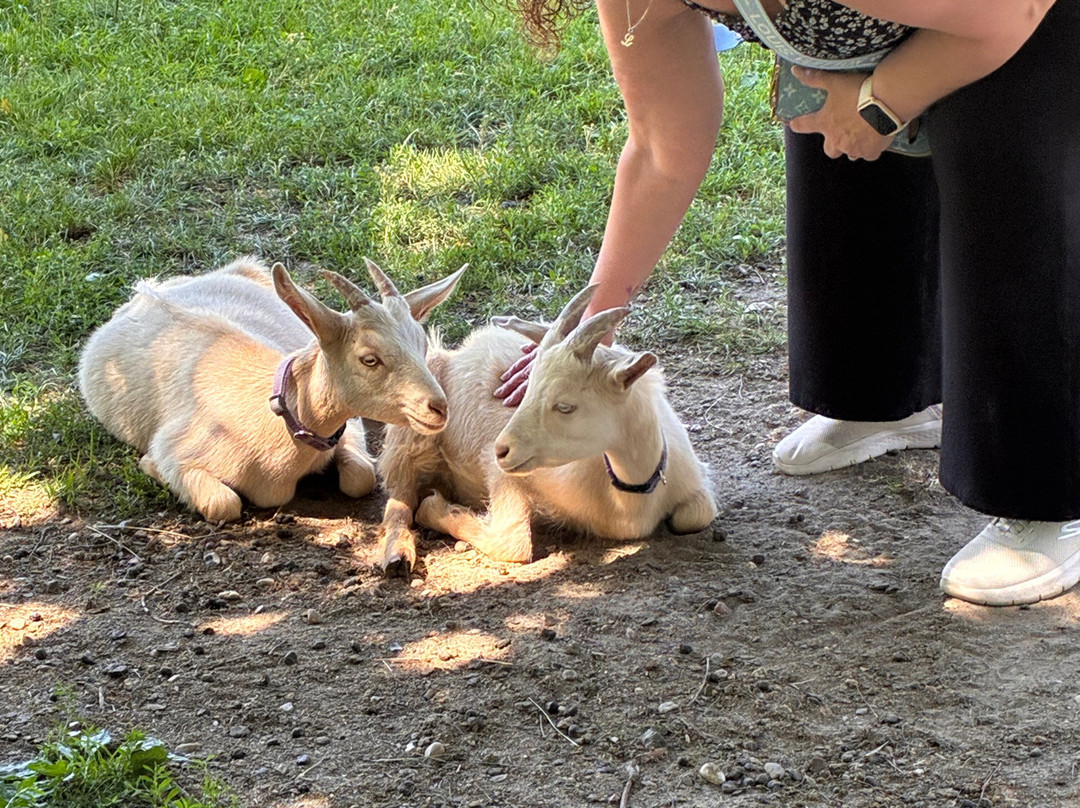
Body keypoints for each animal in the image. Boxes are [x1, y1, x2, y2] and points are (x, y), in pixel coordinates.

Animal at [78, 256, 465, 522]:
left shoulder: (349, 428)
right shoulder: (175, 449)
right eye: (369, 359)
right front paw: (149, 466)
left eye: (422, 345)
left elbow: (361, 477)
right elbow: (223, 504)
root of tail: (152, 289)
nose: (439, 407)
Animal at [376, 285, 718, 574]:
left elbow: (696, 516)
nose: (502, 448)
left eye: (565, 406)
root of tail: (461, 349)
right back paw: (397, 555)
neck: (630, 502)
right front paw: (435, 508)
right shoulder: (506, 472)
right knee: (400, 494)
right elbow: (514, 542)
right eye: (528, 388)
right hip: (415, 421)